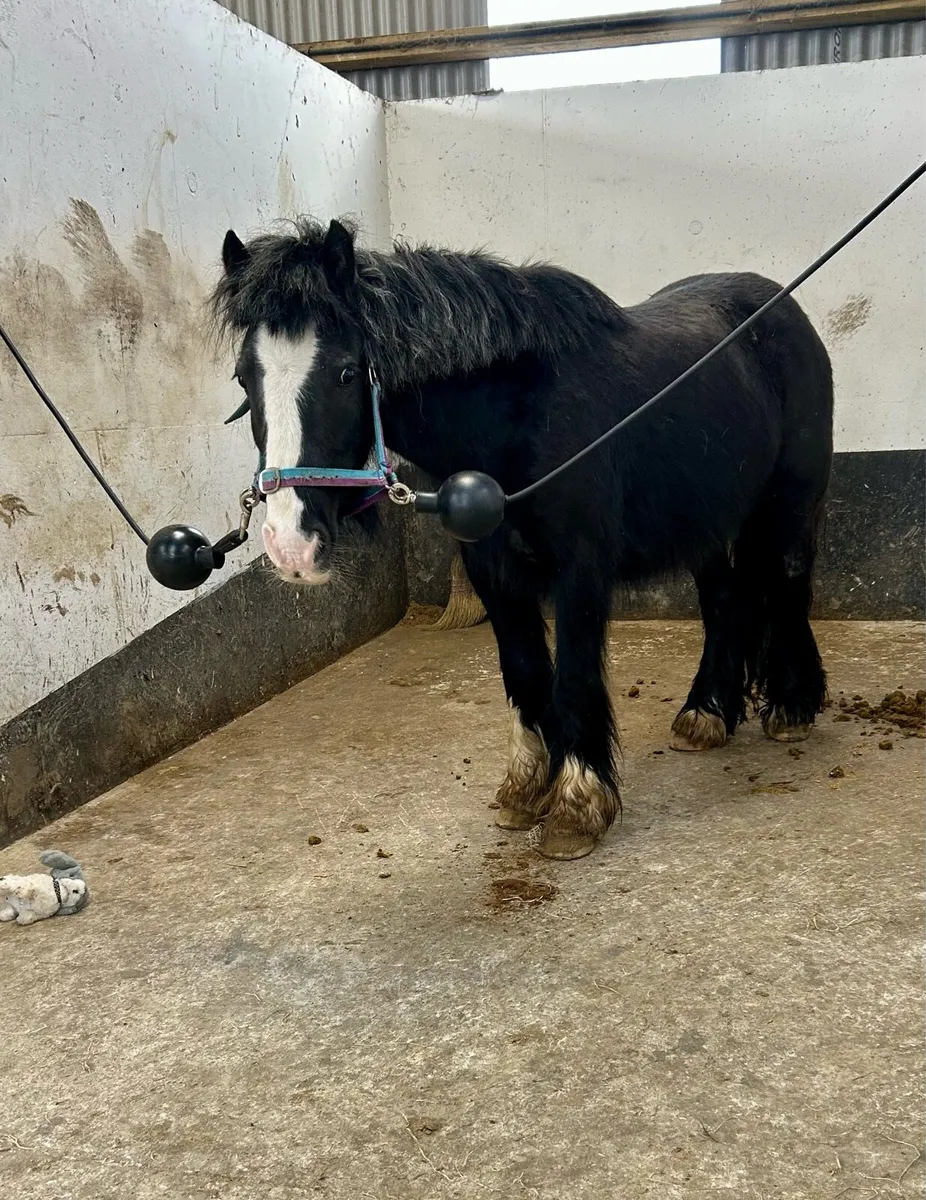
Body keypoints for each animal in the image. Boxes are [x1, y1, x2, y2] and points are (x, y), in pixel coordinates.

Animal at [210, 218, 833, 861]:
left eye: (344, 373)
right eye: (244, 377)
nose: (289, 545)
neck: (518, 422)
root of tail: (777, 304)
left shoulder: (580, 574)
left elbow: (575, 676)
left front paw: (578, 808)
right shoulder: (495, 575)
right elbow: (527, 672)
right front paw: (529, 789)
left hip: (790, 502)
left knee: (788, 584)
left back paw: (791, 706)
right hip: (705, 523)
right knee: (725, 601)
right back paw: (706, 714)